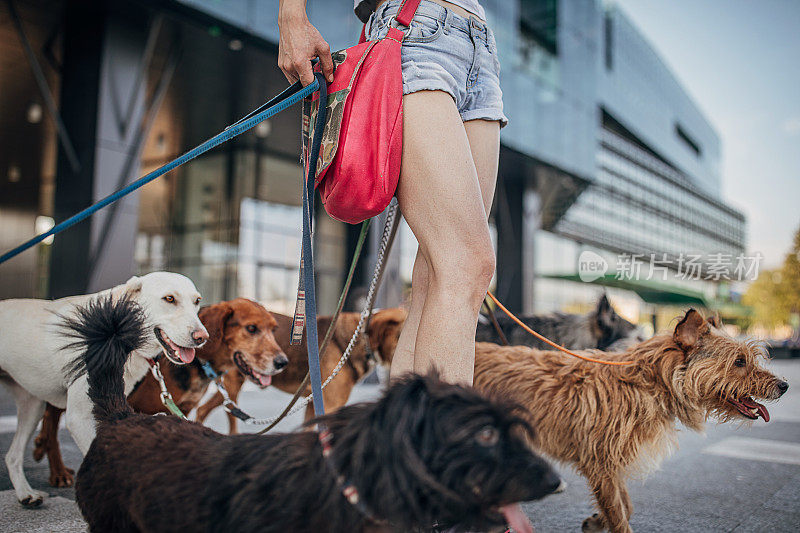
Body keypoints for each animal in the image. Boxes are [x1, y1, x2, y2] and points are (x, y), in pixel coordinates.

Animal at [0, 272, 206, 504]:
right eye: (169, 299)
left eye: (197, 301)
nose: (202, 337)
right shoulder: (80, 418)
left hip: (32, 407)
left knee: (12, 456)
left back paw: (25, 494)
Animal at [32, 298, 288, 488]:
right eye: (251, 328)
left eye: (274, 329)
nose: (282, 362)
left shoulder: (181, 410)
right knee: (51, 420)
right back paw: (57, 471)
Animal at [472, 308, 792, 532]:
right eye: (739, 362)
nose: (785, 385)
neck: (647, 383)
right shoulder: (601, 463)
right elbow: (620, 514)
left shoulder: (610, 466)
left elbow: (625, 505)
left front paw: (596, 521)